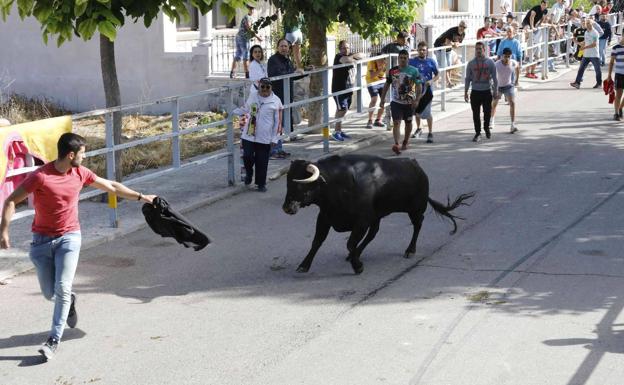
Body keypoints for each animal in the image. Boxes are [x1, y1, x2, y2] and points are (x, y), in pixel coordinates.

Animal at [282, 153, 472, 272]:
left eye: (301, 185)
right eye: (288, 183)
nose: (286, 208)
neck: (336, 184)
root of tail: (416, 165)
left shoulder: (361, 221)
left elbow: (349, 243)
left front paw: (358, 267)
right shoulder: (325, 217)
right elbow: (316, 242)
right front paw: (304, 265)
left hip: (415, 208)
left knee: (418, 224)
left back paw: (410, 250)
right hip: (378, 216)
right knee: (373, 234)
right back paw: (355, 255)